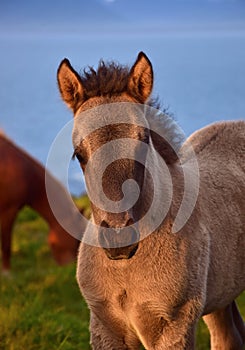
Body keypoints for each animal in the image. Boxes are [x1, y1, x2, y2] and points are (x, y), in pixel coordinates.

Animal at [57, 50, 245, 348]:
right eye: (79, 153)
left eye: (144, 139)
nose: (119, 237)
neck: (125, 270)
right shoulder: (104, 328)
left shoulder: (175, 326)